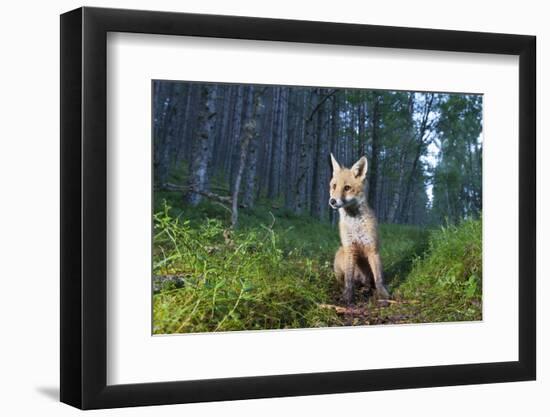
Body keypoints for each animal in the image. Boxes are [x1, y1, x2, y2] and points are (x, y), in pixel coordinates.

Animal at [330, 152, 390, 302]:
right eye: (334, 186)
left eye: (347, 188)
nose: (332, 201)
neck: (355, 225)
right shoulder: (350, 248)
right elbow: (348, 280)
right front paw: (347, 297)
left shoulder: (372, 249)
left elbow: (379, 279)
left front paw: (383, 295)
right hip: (341, 253)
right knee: (346, 280)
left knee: (369, 282)